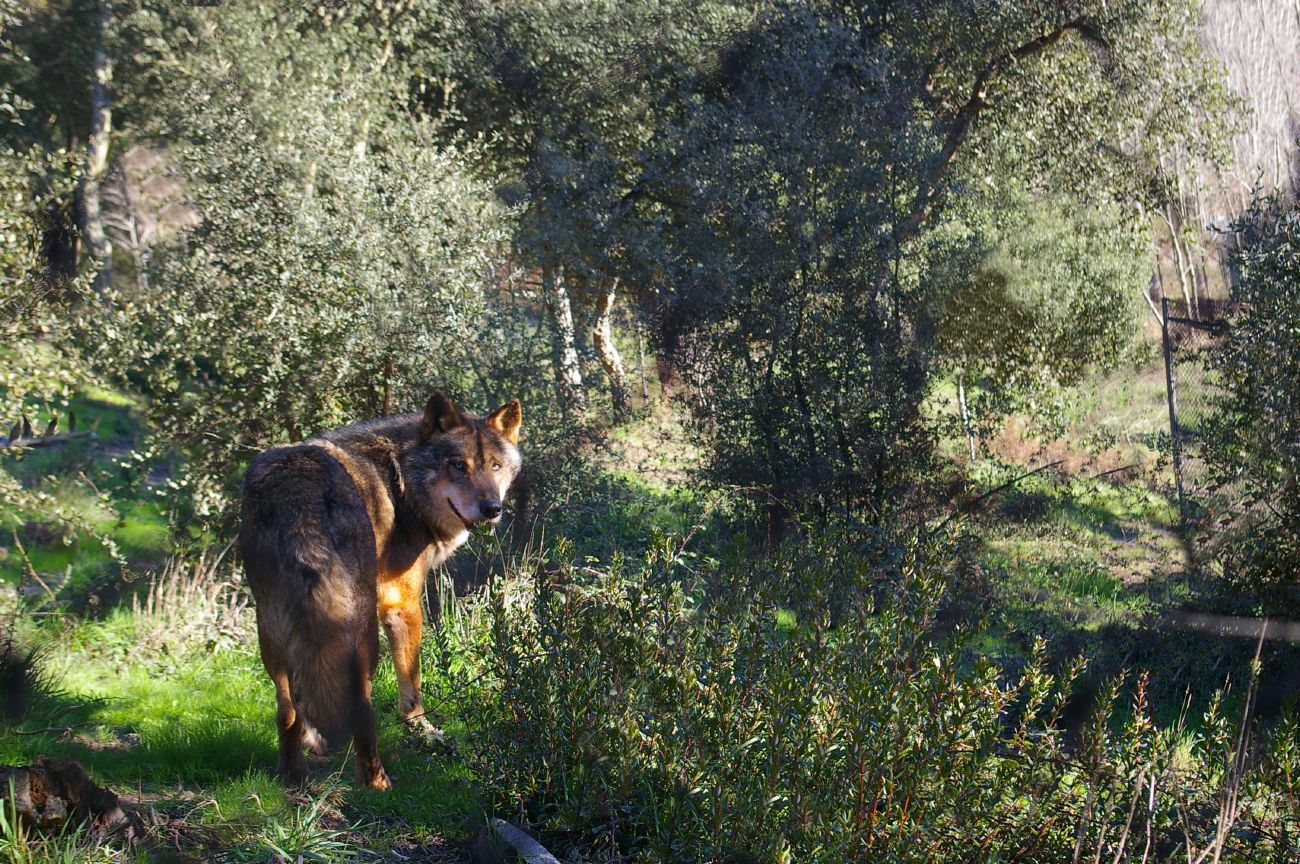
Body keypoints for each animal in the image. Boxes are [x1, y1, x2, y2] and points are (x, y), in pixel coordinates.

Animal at [236, 389, 520, 789]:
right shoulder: (402, 603)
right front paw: (424, 732)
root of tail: (297, 494)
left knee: (286, 711)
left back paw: (293, 777)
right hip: (360, 634)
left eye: (494, 466)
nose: (492, 508)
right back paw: (377, 782)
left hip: (272, 631)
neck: (402, 483)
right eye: (457, 465)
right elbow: (412, 684)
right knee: (362, 710)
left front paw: (312, 740)